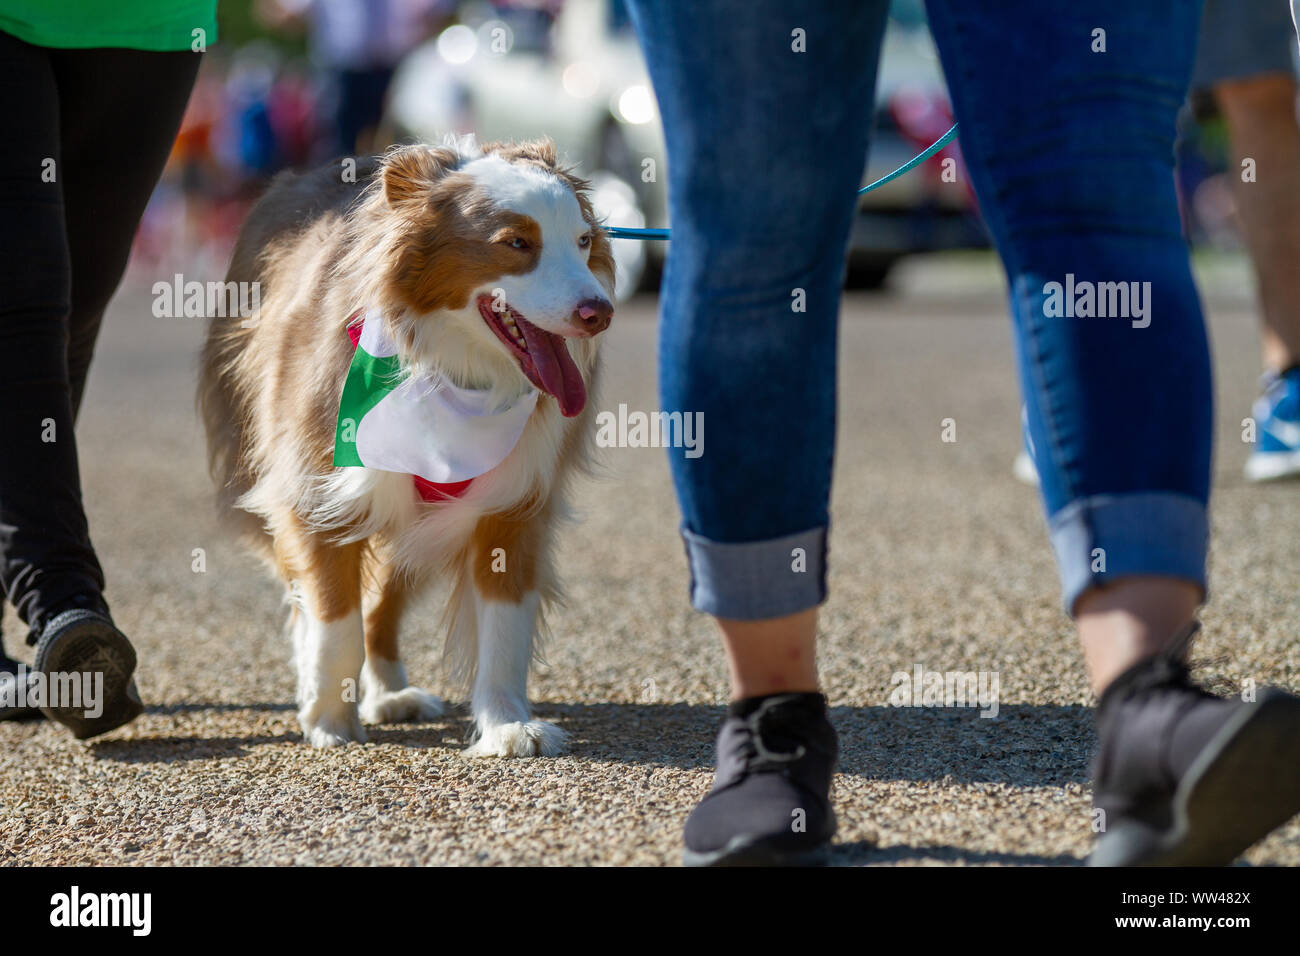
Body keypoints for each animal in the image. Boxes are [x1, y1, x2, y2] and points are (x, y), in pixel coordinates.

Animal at [197, 138, 613, 754]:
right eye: (517, 243)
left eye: (583, 241)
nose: (599, 312)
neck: (453, 368)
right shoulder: (316, 488)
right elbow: (335, 618)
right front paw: (329, 720)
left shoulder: (514, 498)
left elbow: (505, 624)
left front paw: (507, 724)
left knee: (383, 601)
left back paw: (391, 693)